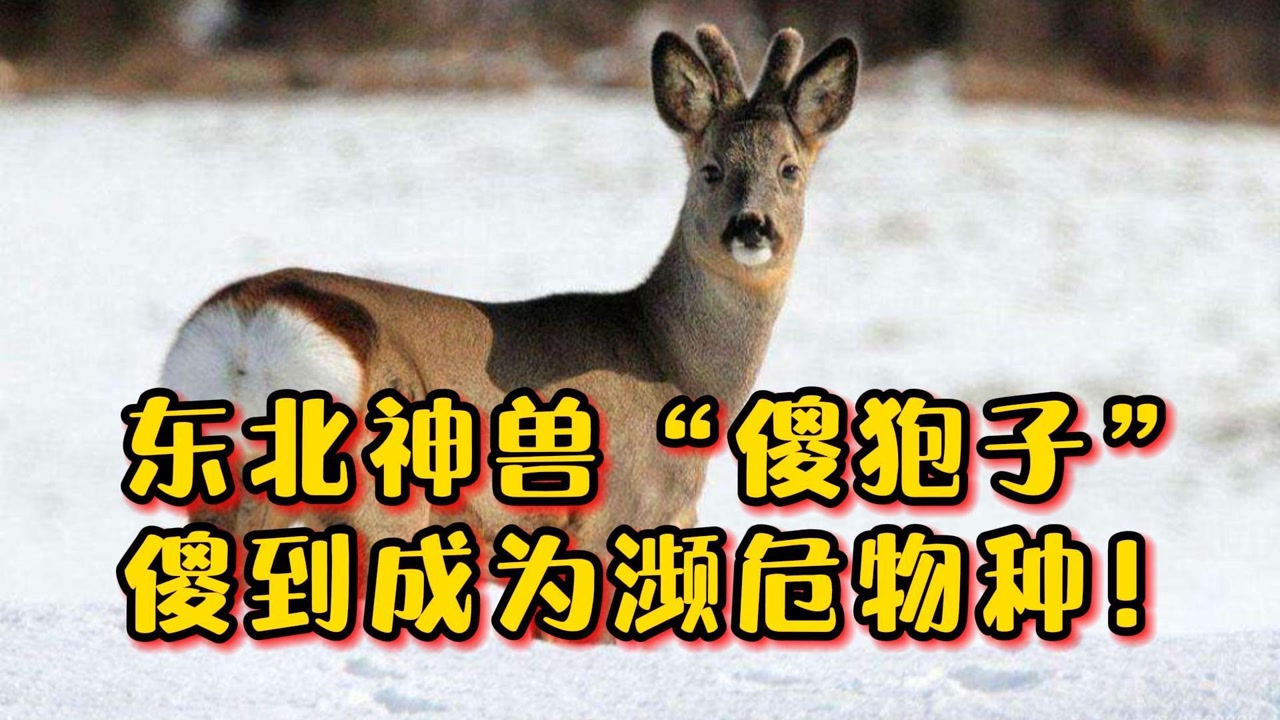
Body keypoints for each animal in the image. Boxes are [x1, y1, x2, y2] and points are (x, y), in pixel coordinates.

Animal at [160, 25, 860, 572]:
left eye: (790, 169)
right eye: (710, 169)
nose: (751, 227)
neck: (669, 362)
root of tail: (249, 330)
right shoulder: (622, 513)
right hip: (381, 494)